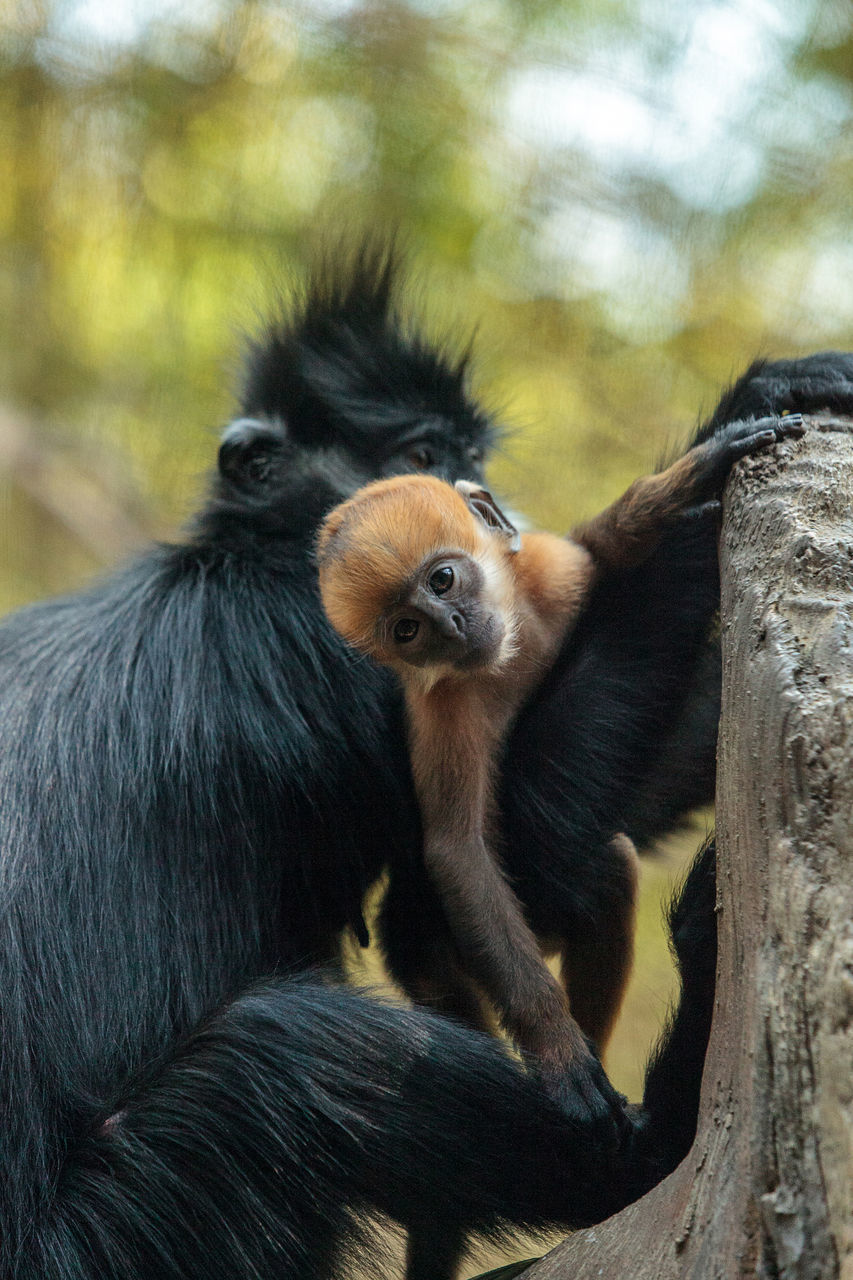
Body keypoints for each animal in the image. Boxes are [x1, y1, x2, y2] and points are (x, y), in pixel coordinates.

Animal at [312, 409, 799, 1100]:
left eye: (443, 579)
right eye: (407, 630)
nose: (450, 627)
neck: (515, 647)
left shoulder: (555, 572)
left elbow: (600, 545)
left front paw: (698, 470)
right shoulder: (448, 715)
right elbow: (459, 852)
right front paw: (558, 1051)